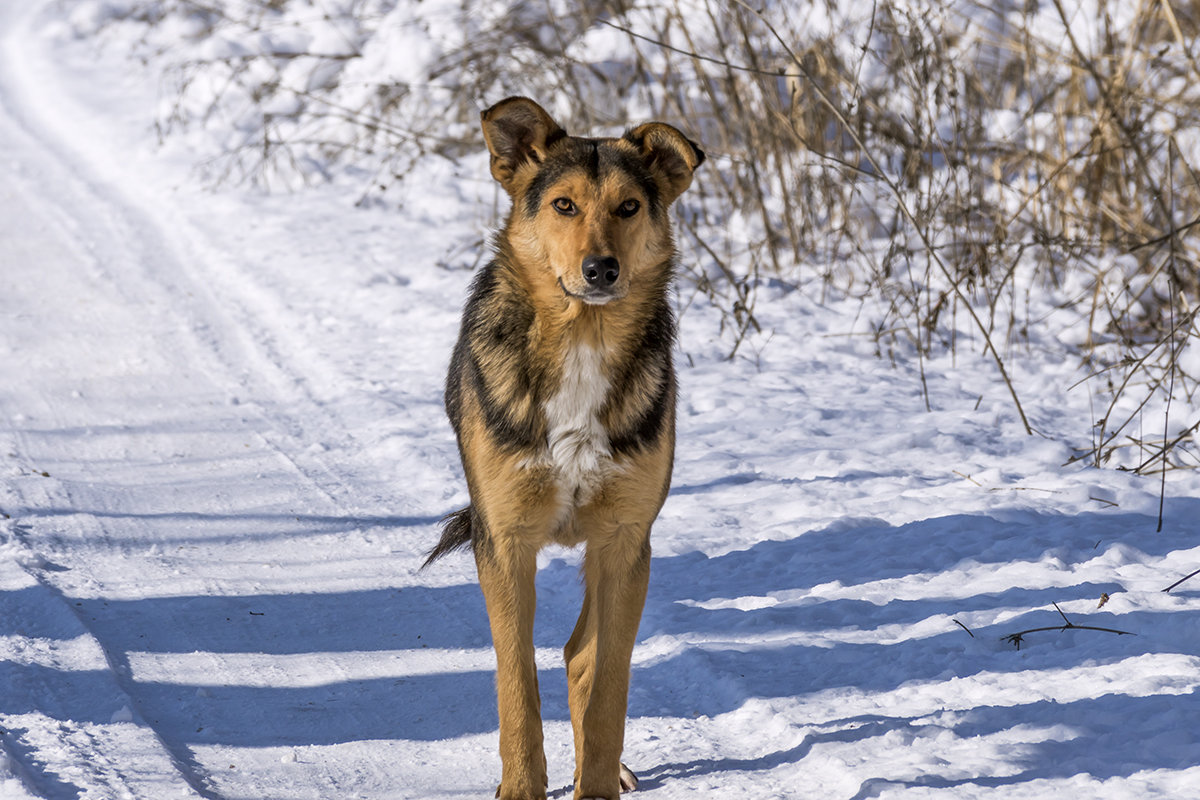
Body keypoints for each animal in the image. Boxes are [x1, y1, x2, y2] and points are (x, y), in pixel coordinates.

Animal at [424, 98, 700, 800]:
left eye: (629, 206)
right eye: (565, 205)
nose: (601, 270)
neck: (583, 337)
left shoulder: (626, 543)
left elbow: (608, 683)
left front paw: (595, 783)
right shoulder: (504, 541)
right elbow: (516, 681)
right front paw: (523, 786)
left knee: (582, 653)